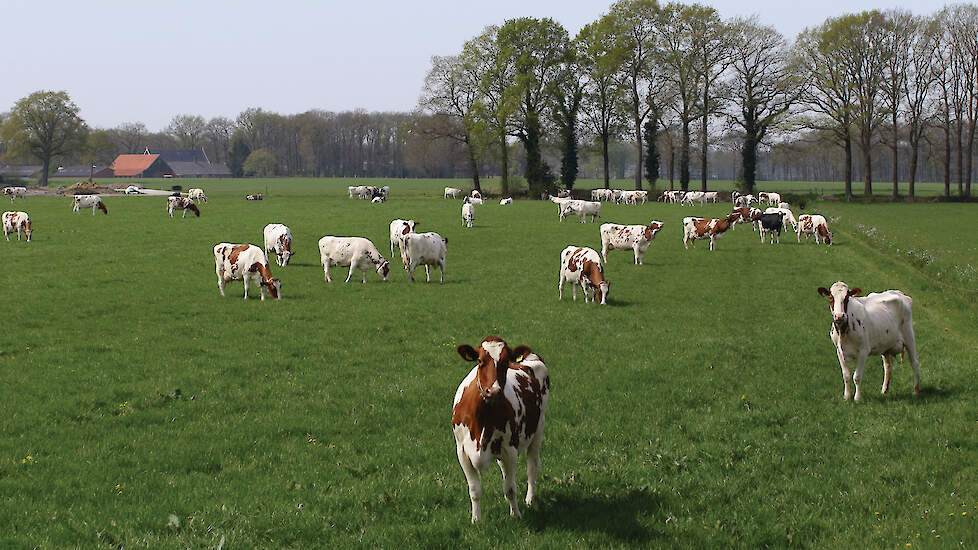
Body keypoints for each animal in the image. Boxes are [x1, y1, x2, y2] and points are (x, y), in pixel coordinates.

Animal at [452, 336, 548, 528]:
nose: (494, 391)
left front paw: (516, 515)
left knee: (532, 466)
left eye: (505, 362)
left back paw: (530, 499)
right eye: (480, 361)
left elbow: (510, 488)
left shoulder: (510, 449)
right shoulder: (462, 452)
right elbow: (474, 489)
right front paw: (476, 519)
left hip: (537, 431)